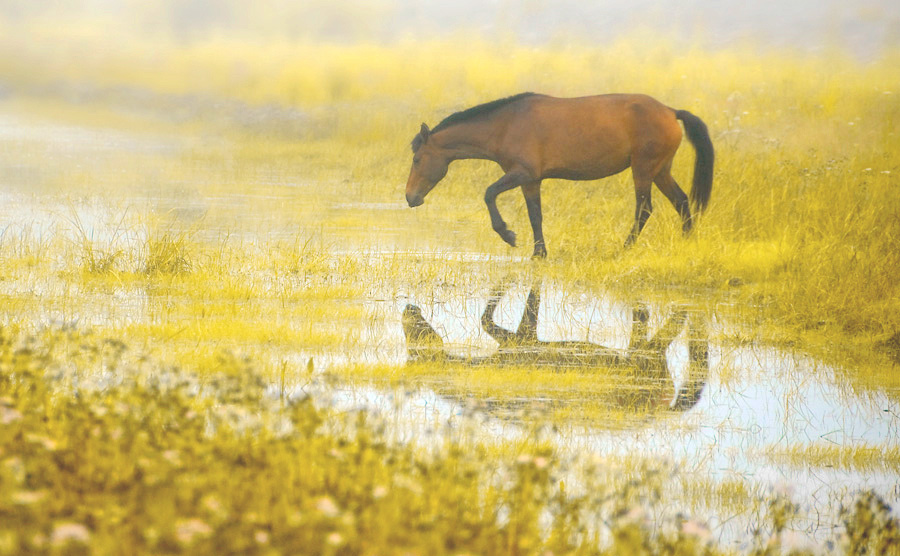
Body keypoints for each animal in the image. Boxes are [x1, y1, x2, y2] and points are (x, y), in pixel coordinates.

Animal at [404, 92, 712, 258]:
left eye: (417, 159)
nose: (410, 197)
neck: (505, 125)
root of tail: (670, 112)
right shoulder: (531, 181)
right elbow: (535, 215)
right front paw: (539, 253)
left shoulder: (521, 173)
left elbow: (489, 193)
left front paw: (508, 235)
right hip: (660, 170)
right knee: (681, 201)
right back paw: (686, 242)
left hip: (643, 170)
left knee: (644, 208)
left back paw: (625, 248)